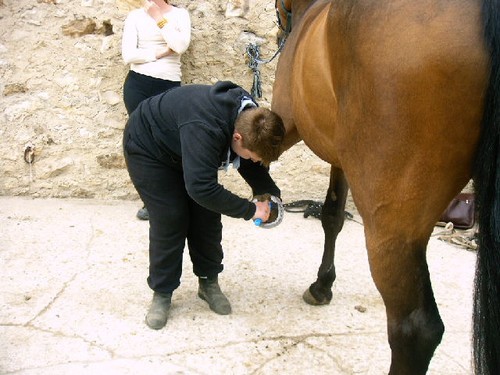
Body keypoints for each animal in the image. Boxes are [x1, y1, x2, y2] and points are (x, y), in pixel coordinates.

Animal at [272, 0, 500, 375]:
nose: (280, 33)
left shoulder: (281, 129)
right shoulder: (341, 155)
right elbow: (332, 216)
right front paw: (323, 285)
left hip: (391, 226)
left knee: (415, 329)